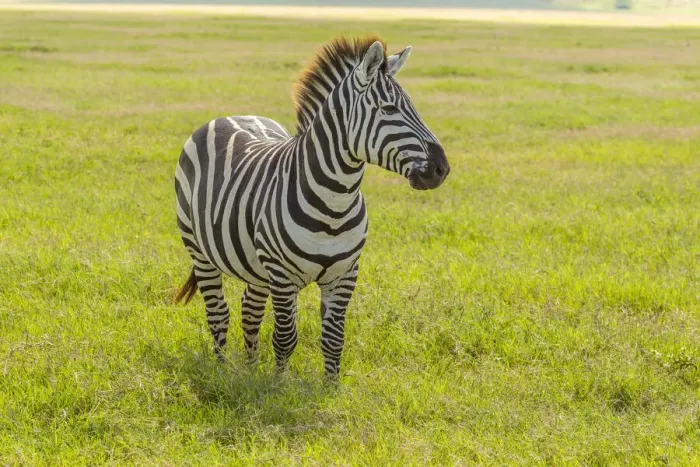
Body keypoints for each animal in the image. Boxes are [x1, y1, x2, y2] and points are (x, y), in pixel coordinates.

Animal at [174, 36, 449, 378]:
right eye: (389, 109)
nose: (441, 169)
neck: (335, 203)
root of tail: (229, 116)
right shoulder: (282, 275)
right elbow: (285, 337)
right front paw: (277, 384)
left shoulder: (345, 274)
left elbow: (333, 338)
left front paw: (331, 387)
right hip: (199, 250)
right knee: (218, 312)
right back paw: (223, 371)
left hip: (254, 265)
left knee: (250, 310)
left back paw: (249, 370)